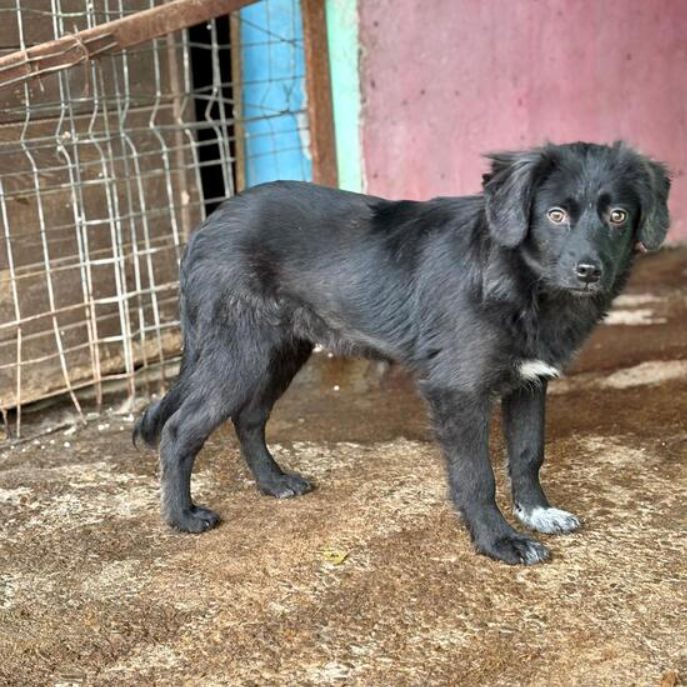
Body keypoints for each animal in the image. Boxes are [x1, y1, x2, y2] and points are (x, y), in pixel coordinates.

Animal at [134, 141, 670, 565]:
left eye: (618, 216)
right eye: (556, 215)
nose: (590, 271)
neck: (519, 277)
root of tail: (206, 225)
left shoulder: (530, 380)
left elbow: (527, 453)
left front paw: (537, 513)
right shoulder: (457, 390)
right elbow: (476, 476)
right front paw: (499, 542)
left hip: (281, 350)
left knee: (247, 417)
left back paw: (274, 482)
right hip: (239, 352)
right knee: (180, 428)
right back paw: (182, 516)